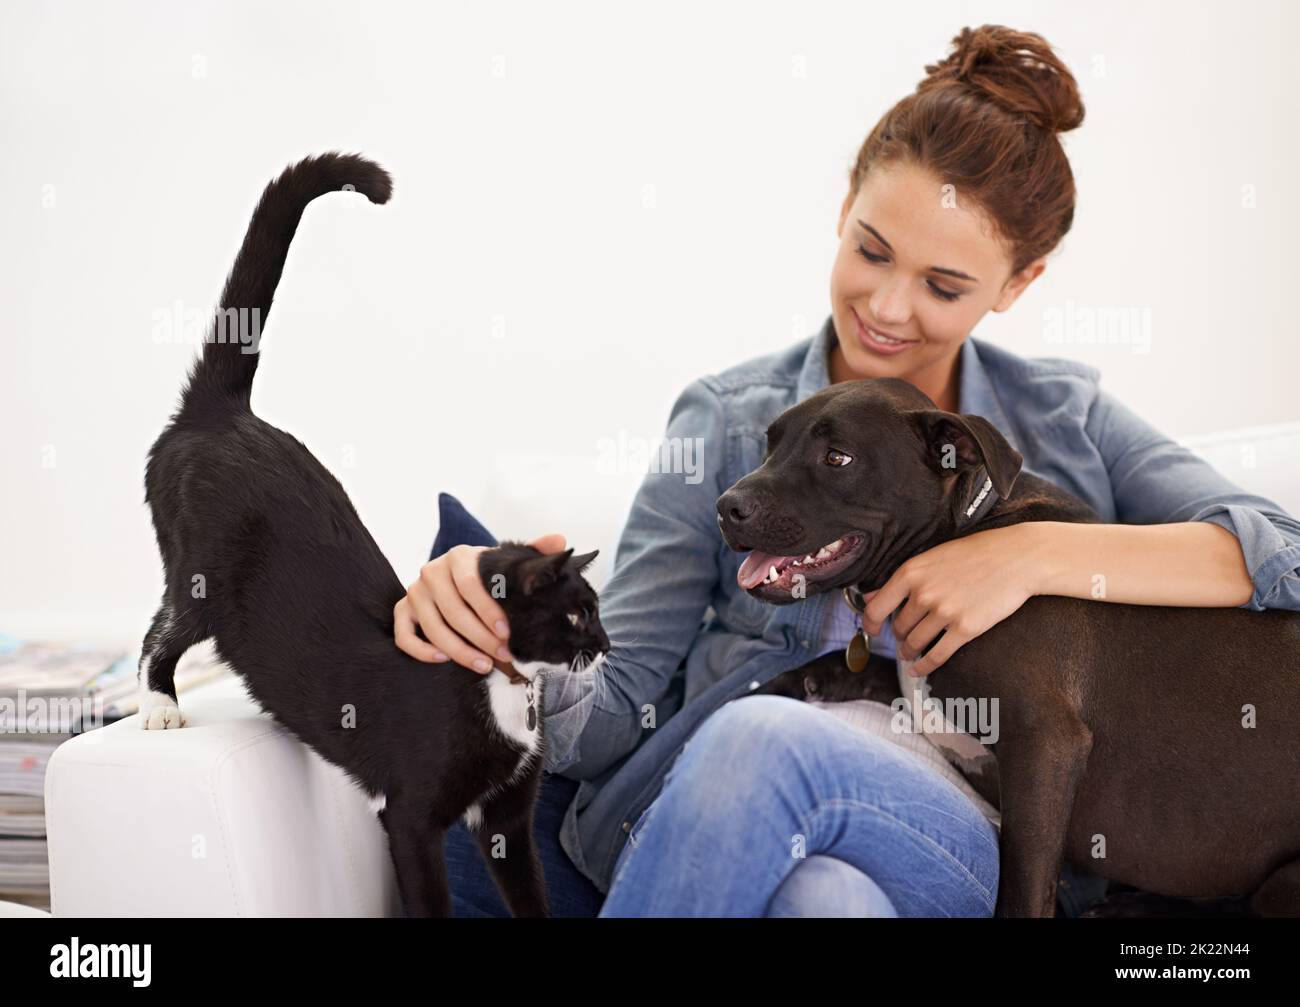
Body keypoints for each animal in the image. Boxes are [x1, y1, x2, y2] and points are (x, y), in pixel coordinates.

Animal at [141, 153, 608, 919]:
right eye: (575, 615)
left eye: (595, 611)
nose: (606, 645)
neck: (503, 689)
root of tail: (224, 413)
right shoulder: (411, 817)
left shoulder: (509, 817)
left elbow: (530, 894)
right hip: (203, 576)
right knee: (163, 628)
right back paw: (158, 707)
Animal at [717, 374, 1300, 919]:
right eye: (770, 444)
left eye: (838, 457)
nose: (726, 507)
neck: (960, 530)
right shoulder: (922, 679)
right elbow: (868, 669)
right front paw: (782, 685)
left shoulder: (1043, 743)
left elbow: (1021, 888)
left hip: (1280, 885)